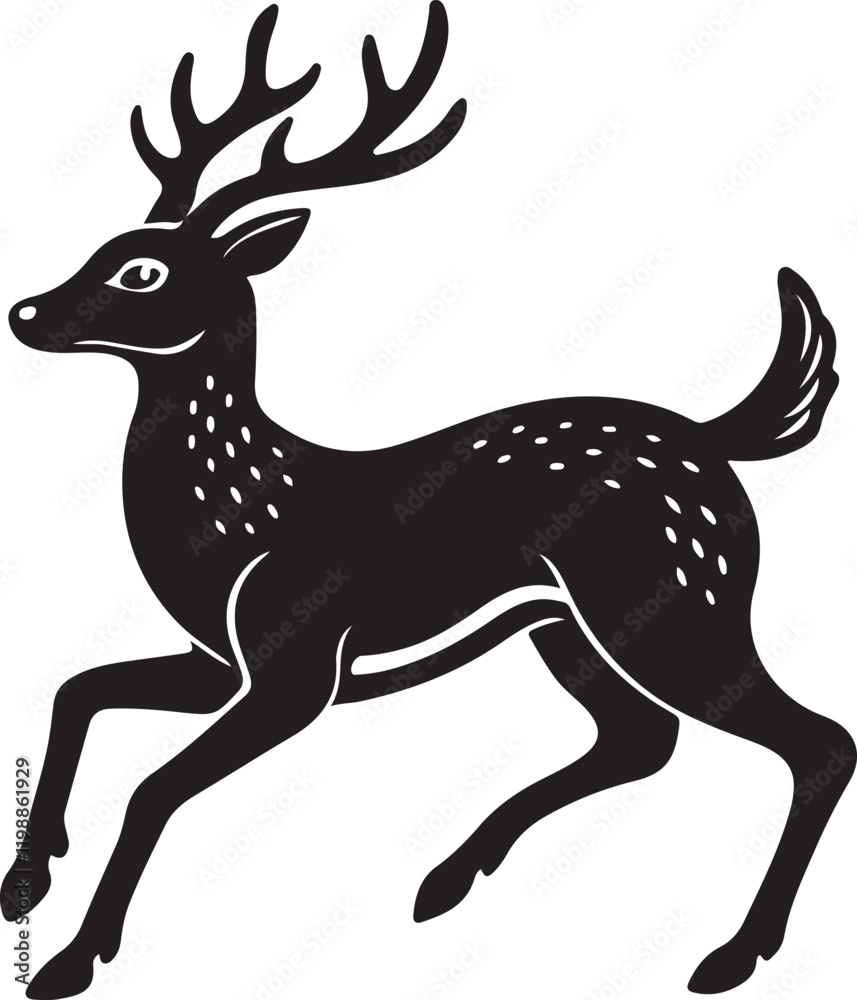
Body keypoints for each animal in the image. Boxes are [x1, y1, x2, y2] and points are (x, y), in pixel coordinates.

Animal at [4, 3, 854, 997]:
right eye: (104, 246)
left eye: (142, 272)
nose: (25, 313)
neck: (239, 513)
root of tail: (716, 436)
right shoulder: (220, 660)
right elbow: (78, 688)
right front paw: (23, 885)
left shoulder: (298, 664)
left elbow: (154, 786)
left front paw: (70, 960)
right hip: (570, 624)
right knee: (641, 737)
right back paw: (447, 879)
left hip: (684, 598)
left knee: (815, 740)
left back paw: (728, 955)